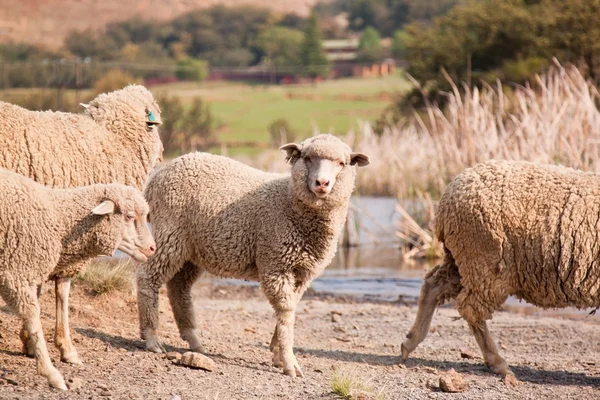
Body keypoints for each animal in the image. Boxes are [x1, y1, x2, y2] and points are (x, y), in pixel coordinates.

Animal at [0, 84, 163, 366]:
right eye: (155, 123)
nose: (164, 153)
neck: (112, 140)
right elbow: (61, 290)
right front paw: (63, 346)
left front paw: (30, 340)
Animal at [0, 167, 157, 390]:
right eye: (128, 216)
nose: (152, 248)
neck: (58, 218)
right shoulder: (17, 273)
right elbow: (33, 317)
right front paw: (51, 373)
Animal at [138, 134, 368, 378]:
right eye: (306, 158)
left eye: (342, 163)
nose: (322, 183)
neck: (289, 201)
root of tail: (158, 175)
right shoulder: (275, 265)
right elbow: (286, 313)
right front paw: (289, 361)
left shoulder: (302, 273)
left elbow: (290, 309)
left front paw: (277, 352)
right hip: (169, 233)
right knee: (147, 277)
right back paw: (152, 337)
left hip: (191, 251)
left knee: (178, 288)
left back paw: (194, 341)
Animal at [398, 159, 600, 384]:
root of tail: (450, 193)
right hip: (484, 263)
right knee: (471, 309)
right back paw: (499, 364)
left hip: (462, 260)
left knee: (433, 285)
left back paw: (410, 343)